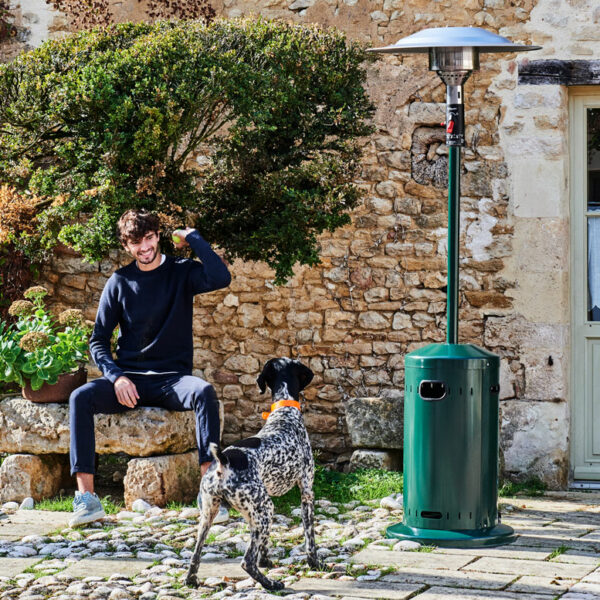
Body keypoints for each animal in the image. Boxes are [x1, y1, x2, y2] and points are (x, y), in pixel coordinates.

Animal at [186, 358, 318, 588]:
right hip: (266, 509)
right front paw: (316, 563)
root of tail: (224, 460)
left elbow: (263, 542)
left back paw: (191, 579)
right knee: (246, 562)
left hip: (210, 514)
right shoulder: (306, 492)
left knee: (195, 554)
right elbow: (309, 535)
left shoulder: (253, 513)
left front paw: (265, 560)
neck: (284, 414)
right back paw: (271, 584)